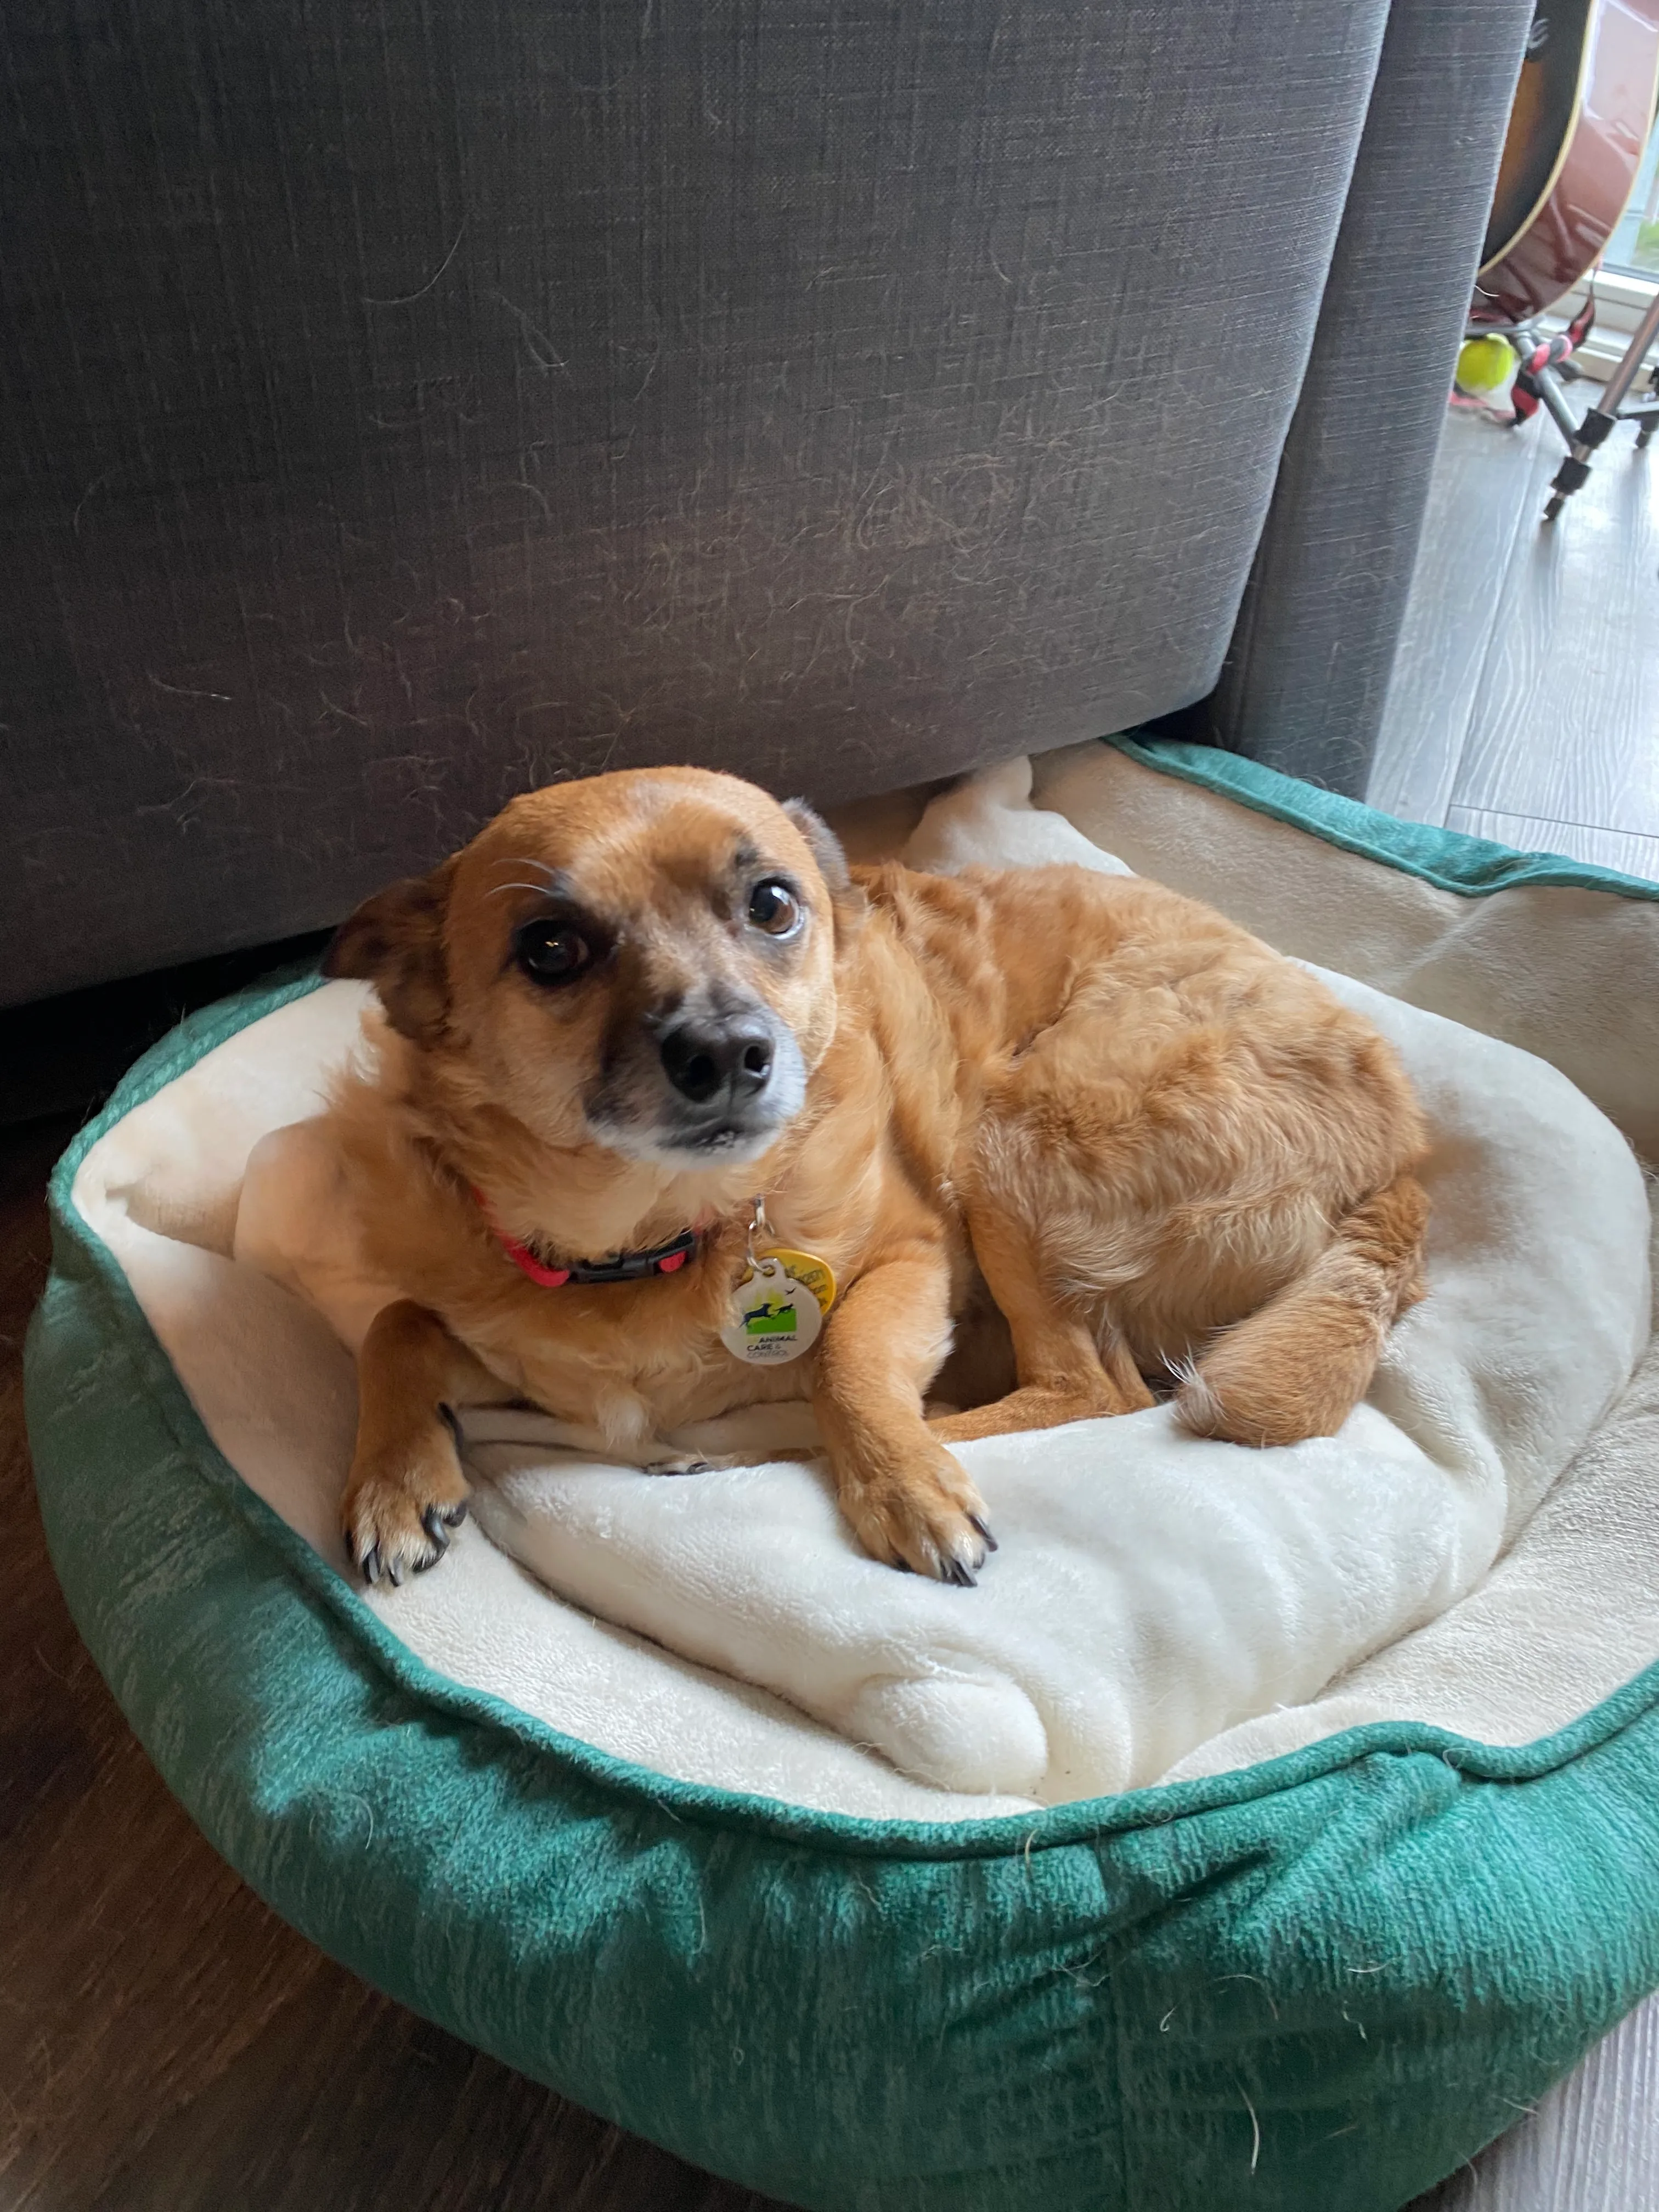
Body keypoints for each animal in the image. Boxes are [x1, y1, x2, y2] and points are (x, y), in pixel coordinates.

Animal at [314, 770, 1433, 1583]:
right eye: (549, 948)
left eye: (771, 903)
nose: (727, 1051)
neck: (647, 1238)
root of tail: (1408, 1153)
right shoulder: (519, 1348)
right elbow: (397, 1324)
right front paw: (394, 1479)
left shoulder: (914, 1258)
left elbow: (845, 1356)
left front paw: (900, 1480)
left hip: (1013, 1141)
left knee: (1087, 1387)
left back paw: (806, 1450)